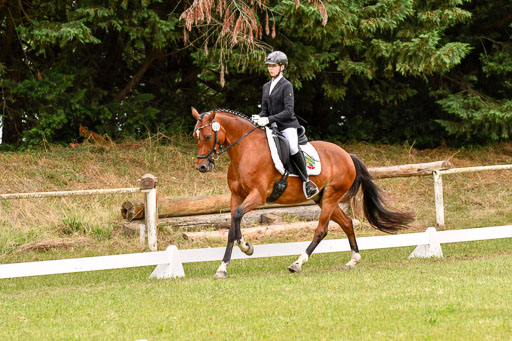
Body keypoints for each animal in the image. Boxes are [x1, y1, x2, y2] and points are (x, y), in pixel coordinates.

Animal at [191, 107, 412, 278]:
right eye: (195, 136)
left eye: (208, 136)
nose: (201, 167)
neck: (245, 150)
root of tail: (347, 155)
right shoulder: (236, 196)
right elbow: (231, 228)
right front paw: (223, 267)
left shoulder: (257, 195)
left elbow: (237, 217)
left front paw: (246, 246)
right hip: (322, 199)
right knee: (347, 223)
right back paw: (353, 260)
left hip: (331, 197)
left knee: (321, 230)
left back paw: (297, 263)